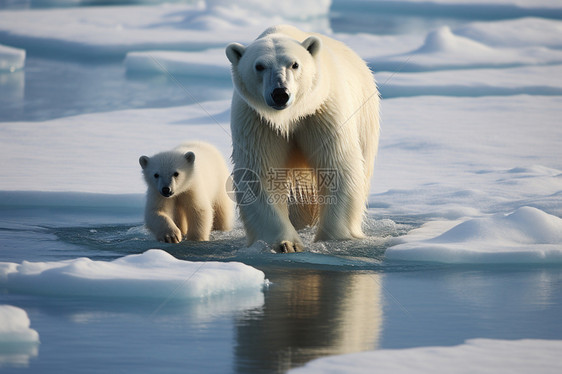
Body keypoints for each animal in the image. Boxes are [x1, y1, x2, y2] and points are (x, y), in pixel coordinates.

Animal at [225, 24, 378, 253]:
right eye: (259, 66)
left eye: (294, 64)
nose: (280, 93)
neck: (290, 116)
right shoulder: (258, 120)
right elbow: (261, 172)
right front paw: (286, 244)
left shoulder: (322, 113)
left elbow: (337, 164)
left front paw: (333, 239)